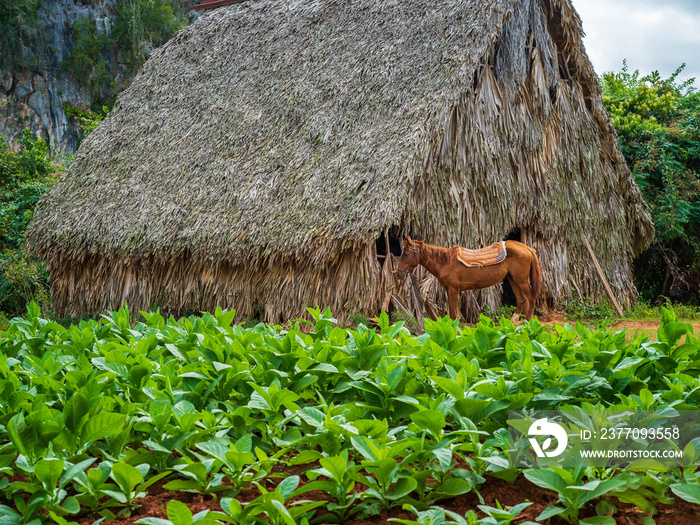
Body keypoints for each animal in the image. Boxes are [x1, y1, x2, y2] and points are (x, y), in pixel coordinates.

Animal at [400, 236, 540, 320]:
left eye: (406, 254)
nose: (398, 273)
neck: (446, 262)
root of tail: (526, 247)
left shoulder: (453, 289)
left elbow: (453, 313)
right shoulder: (448, 290)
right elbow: (452, 313)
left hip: (521, 280)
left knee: (531, 298)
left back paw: (527, 323)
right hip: (512, 278)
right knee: (521, 299)